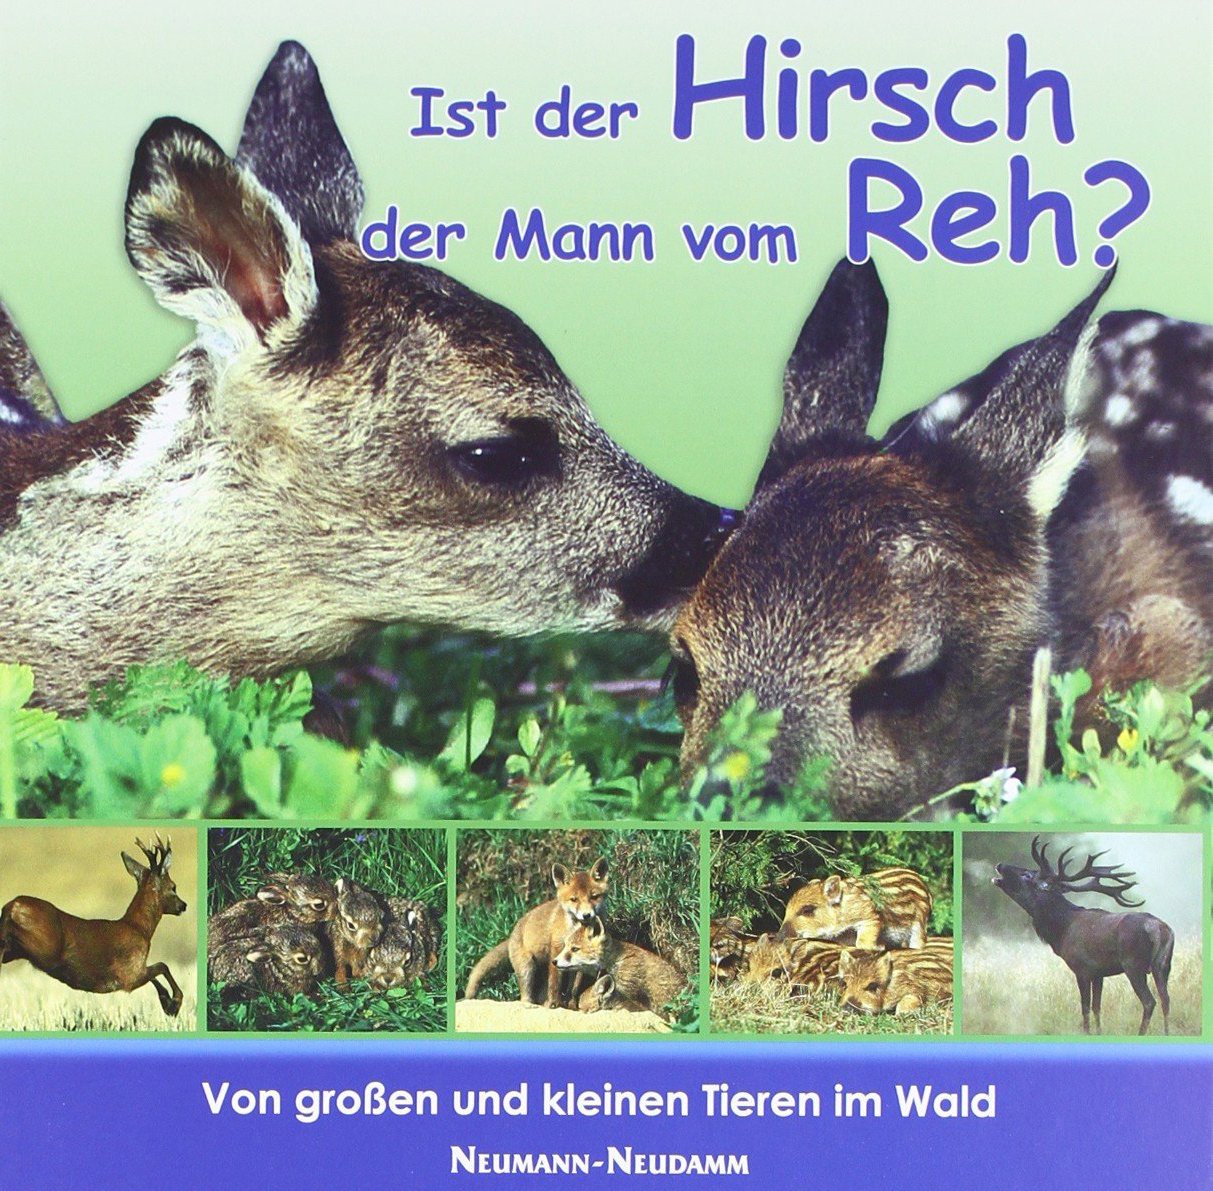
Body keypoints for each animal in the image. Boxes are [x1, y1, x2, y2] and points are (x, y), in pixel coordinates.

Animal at [0, 835, 188, 1017]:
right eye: (174, 887)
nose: (183, 905)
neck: (139, 928)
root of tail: (11, 906)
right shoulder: (129, 975)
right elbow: (162, 966)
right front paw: (175, 1003)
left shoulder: (133, 973)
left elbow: (158, 974)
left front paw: (167, 1003)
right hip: (42, 949)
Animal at [993, 836, 1174, 1035]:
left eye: (1027, 875)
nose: (1000, 865)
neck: (1061, 930)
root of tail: (1159, 929)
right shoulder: (1098, 973)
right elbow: (1097, 1007)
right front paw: (1099, 1033)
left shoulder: (1082, 968)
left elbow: (1085, 1007)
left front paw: (1086, 1032)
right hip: (1163, 965)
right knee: (1166, 999)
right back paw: (1167, 1032)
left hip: (1133, 964)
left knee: (1150, 1001)